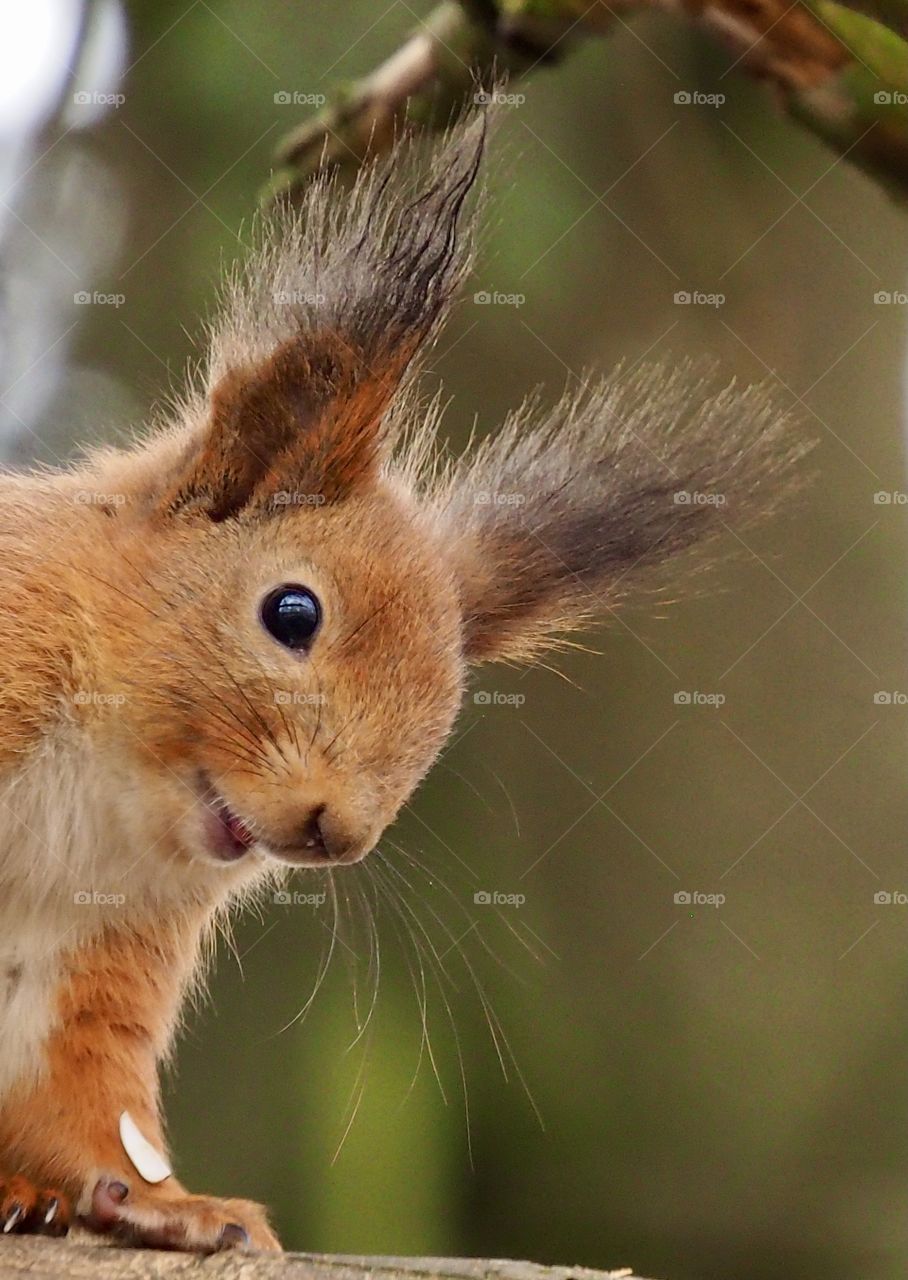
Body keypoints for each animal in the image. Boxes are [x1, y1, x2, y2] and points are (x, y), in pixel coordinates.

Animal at [0, 114, 803, 1252]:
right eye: (291, 613)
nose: (336, 832)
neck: (102, 774)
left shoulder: (106, 945)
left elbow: (77, 1093)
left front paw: (173, 1203)